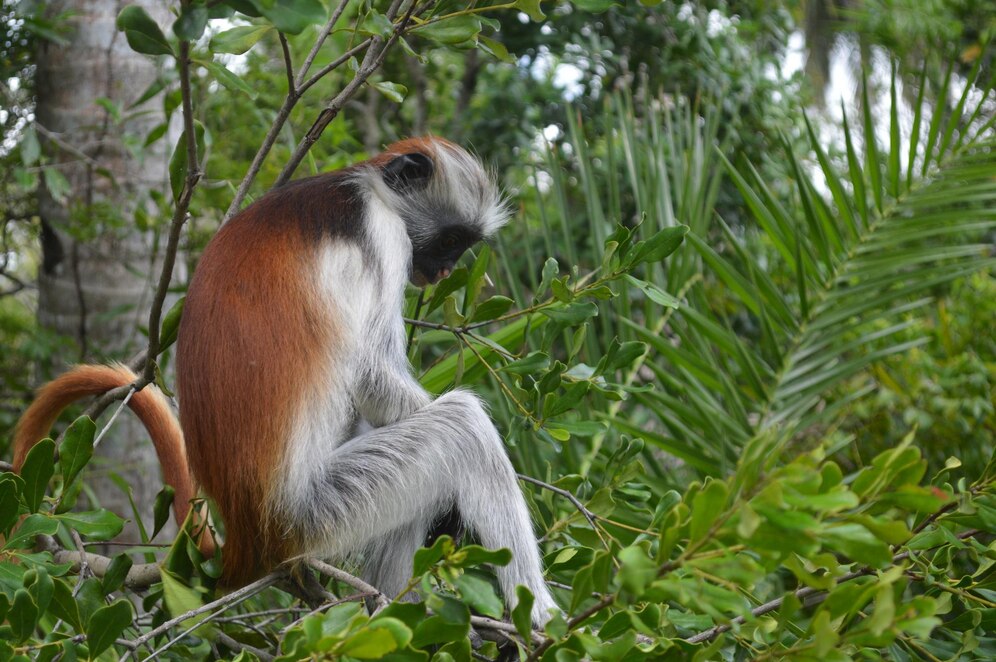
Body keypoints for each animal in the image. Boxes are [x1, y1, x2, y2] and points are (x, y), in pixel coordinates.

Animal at [11, 137, 559, 626]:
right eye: (449, 241)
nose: (444, 269)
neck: (366, 184)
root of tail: (249, 531)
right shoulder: (382, 234)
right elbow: (373, 377)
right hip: (313, 511)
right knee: (463, 426)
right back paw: (537, 619)